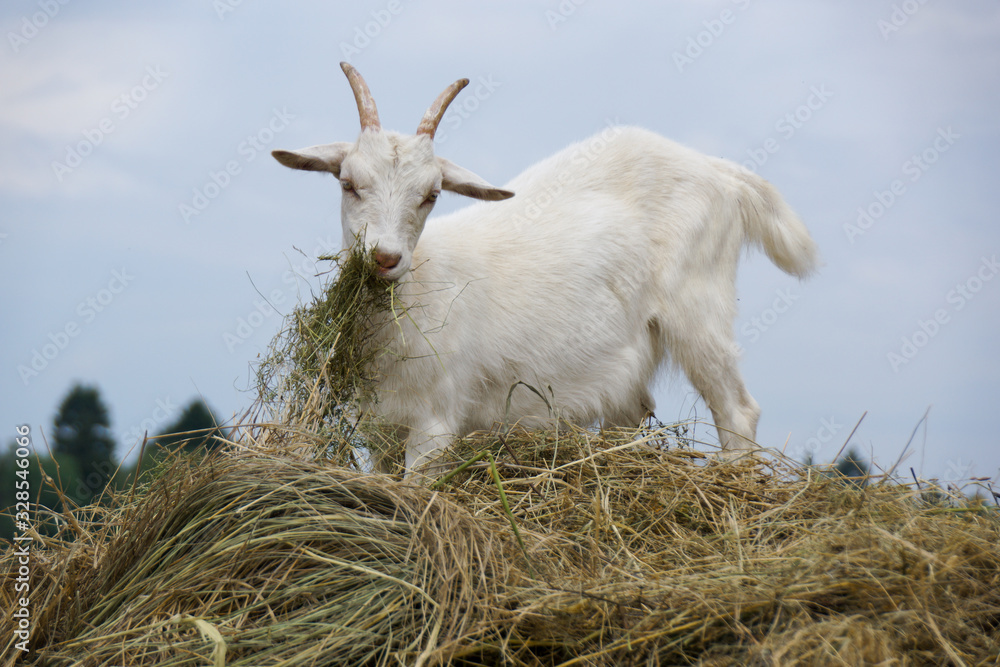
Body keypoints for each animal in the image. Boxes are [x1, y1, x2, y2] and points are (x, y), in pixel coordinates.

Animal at [272, 63, 818, 474]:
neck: (416, 295)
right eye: (347, 183)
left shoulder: (434, 424)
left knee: (738, 410)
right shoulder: (381, 432)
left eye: (431, 195)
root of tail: (720, 172)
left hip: (698, 307)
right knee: (634, 409)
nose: (385, 258)